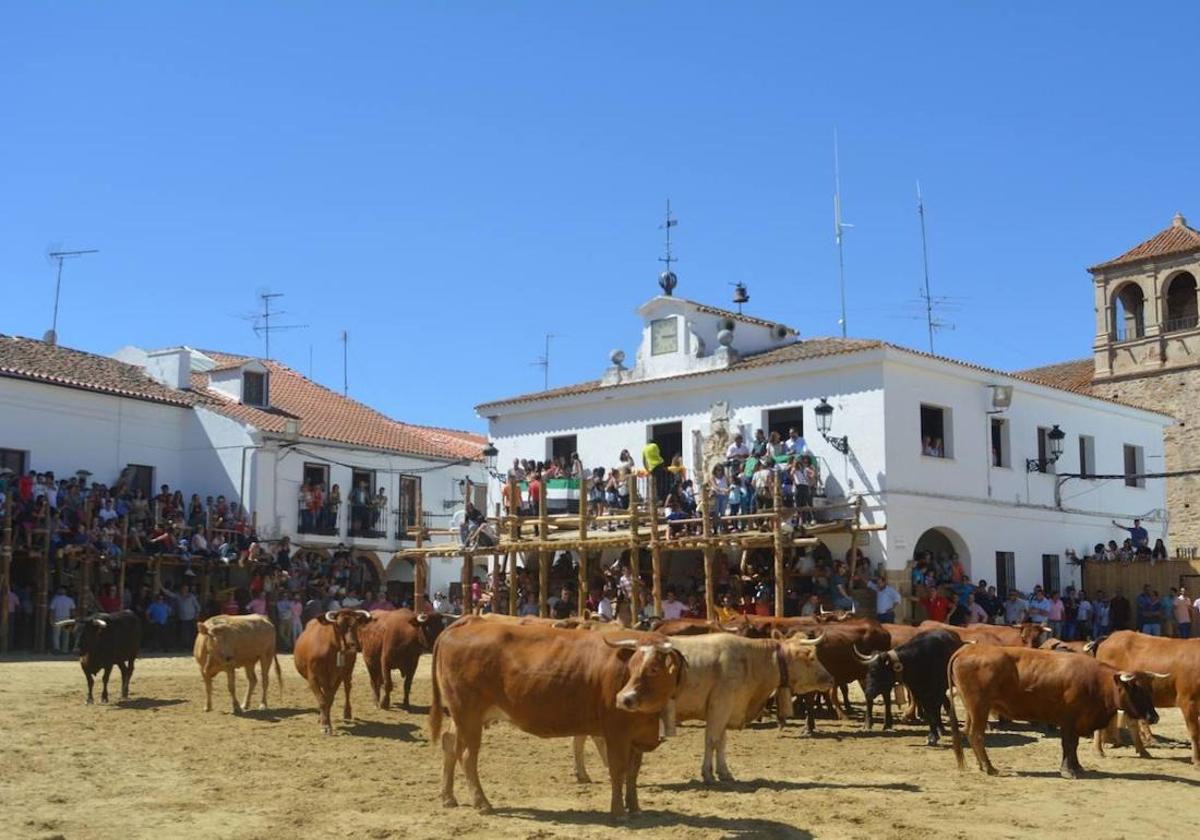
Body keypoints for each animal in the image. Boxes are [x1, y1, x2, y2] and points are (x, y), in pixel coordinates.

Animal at [292, 604, 372, 734]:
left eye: (356, 624)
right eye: (338, 625)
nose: (353, 645)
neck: (331, 651)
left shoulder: (337, 677)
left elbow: (329, 699)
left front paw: (326, 722)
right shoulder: (313, 677)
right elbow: (323, 700)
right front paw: (324, 723)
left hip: (348, 671)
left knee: (347, 688)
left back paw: (347, 713)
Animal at [429, 614, 686, 816]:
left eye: (654, 668)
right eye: (631, 666)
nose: (624, 699)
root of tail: (469, 622)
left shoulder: (636, 737)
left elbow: (633, 773)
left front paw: (635, 807)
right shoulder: (616, 733)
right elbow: (618, 770)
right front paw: (618, 811)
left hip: (462, 716)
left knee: (449, 744)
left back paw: (448, 797)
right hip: (468, 713)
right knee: (466, 755)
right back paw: (482, 802)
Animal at [945, 648, 1161, 777]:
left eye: (1149, 690)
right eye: (1135, 690)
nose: (1154, 717)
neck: (1096, 682)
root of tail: (968, 649)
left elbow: (1073, 745)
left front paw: (1077, 766)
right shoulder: (1068, 720)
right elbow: (1068, 744)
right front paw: (1068, 770)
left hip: (972, 709)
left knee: (970, 733)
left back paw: (982, 766)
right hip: (979, 707)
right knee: (977, 734)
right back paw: (989, 767)